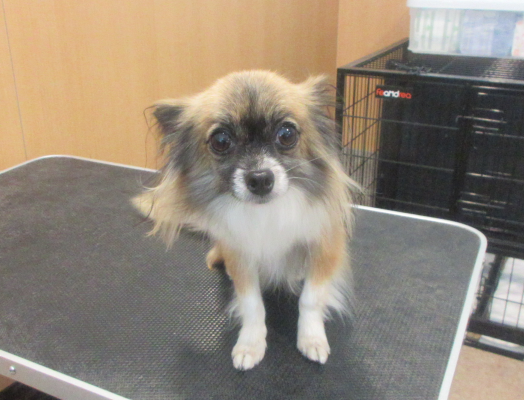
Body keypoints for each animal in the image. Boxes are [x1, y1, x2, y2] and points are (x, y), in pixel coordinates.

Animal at [133, 70, 357, 370]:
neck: (266, 213)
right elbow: (252, 305)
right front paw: (251, 343)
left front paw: (311, 338)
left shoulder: (325, 246)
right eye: (221, 141)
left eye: (286, 134)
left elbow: (310, 299)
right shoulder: (240, 257)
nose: (260, 178)